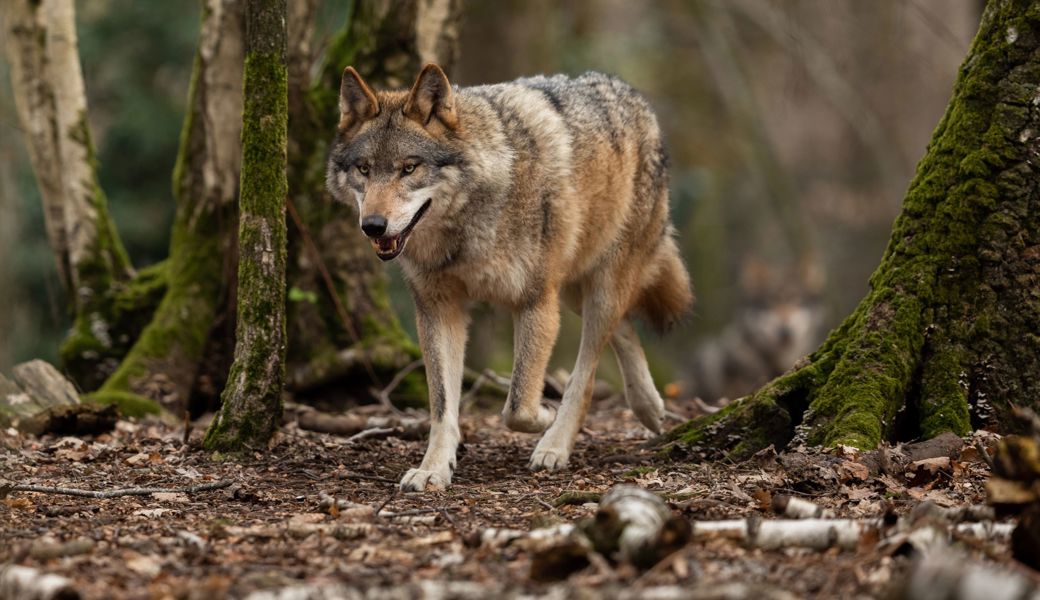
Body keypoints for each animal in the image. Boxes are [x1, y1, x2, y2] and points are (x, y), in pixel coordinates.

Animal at [328, 63, 694, 488]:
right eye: (364, 169)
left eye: (409, 168)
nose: (372, 226)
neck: (465, 230)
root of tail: (629, 93)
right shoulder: (438, 309)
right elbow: (442, 406)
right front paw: (433, 469)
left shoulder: (535, 302)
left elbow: (517, 405)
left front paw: (545, 416)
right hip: (572, 288)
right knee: (621, 328)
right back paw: (649, 407)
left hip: (596, 285)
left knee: (587, 370)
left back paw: (556, 445)